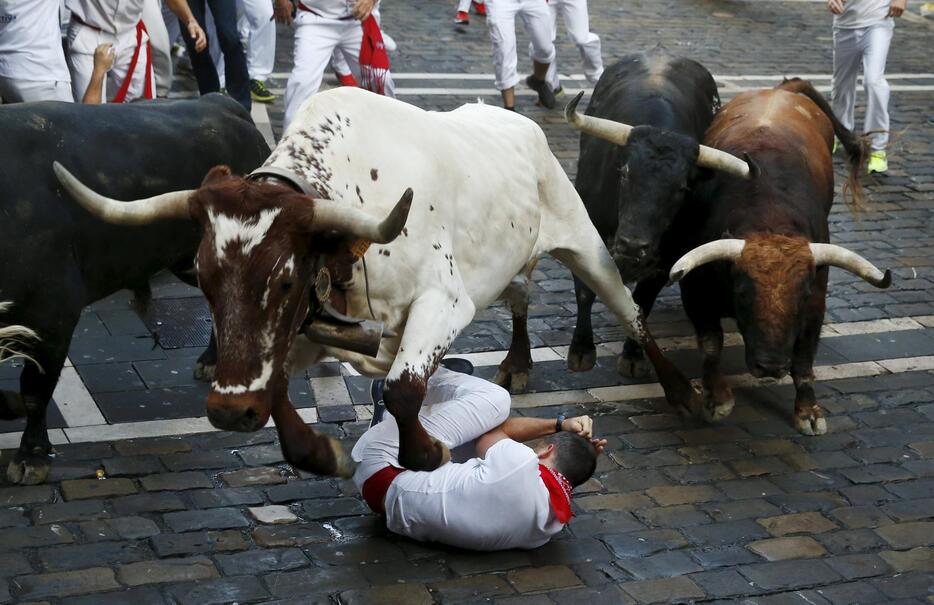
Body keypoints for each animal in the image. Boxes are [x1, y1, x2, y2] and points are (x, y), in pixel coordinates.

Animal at [53, 88, 704, 476]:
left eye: (283, 281)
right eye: (205, 281)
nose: (229, 412)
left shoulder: (444, 301)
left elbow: (402, 389)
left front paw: (427, 449)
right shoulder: (309, 329)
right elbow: (282, 388)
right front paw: (321, 452)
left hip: (587, 243)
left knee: (630, 311)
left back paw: (684, 392)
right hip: (509, 261)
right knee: (521, 296)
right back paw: (517, 361)